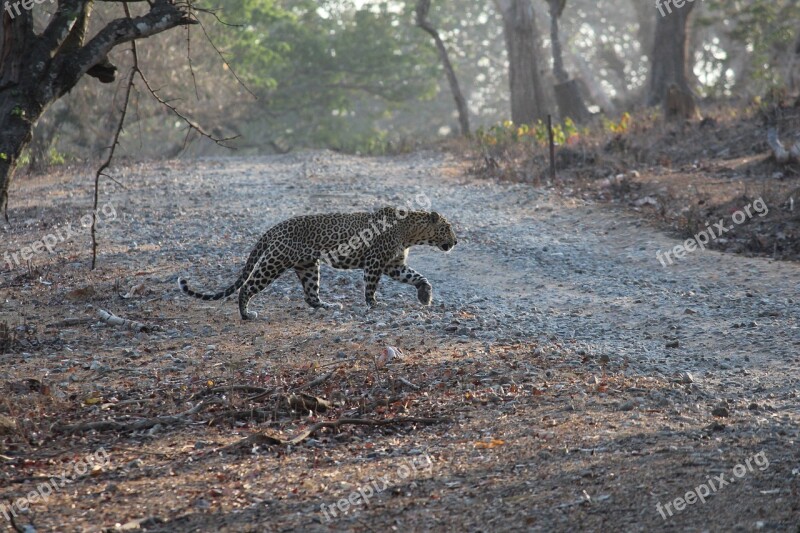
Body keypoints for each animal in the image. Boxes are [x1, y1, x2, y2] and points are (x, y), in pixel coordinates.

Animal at [179, 206, 460, 318]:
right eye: (447, 228)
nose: (456, 242)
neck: (411, 232)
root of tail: (274, 228)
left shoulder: (394, 265)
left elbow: (417, 276)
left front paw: (425, 295)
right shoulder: (375, 262)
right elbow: (371, 286)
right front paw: (373, 304)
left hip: (307, 267)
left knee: (310, 295)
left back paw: (328, 305)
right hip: (274, 262)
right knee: (248, 286)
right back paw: (246, 314)